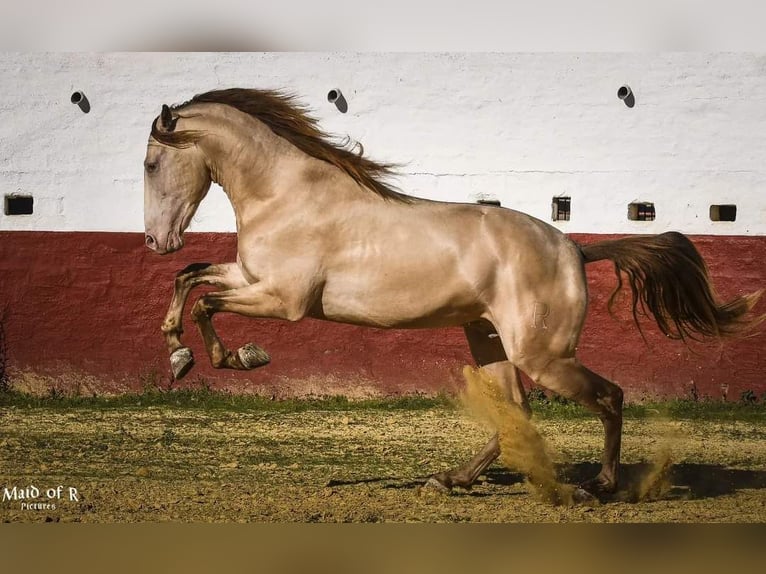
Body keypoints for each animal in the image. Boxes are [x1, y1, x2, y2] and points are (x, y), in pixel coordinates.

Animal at [142, 86, 760, 500]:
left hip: (543, 354)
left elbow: (204, 300)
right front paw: (178, 353)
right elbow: (191, 277)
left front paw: (235, 356)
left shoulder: (284, 300)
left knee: (609, 397)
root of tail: (575, 249)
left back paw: (599, 485)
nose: (154, 240)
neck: (288, 193)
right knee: (517, 412)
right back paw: (452, 479)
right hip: (490, 342)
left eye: (150, 163)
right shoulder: (251, 277)